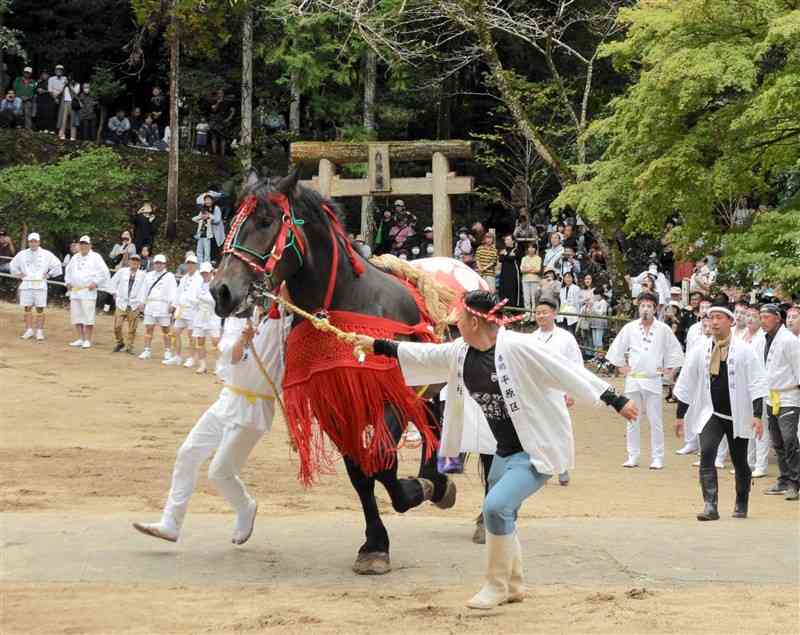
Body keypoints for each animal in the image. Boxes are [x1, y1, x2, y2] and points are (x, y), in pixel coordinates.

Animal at [209, 169, 454, 576]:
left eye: (266, 221)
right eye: (231, 222)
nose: (221, 291)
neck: (345, 306)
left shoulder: (390, 396)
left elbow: (381, 461)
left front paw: (414, 491)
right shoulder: (335, 403)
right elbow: (360, 471)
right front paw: (375, 543)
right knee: (433, 427)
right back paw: (438, 479)